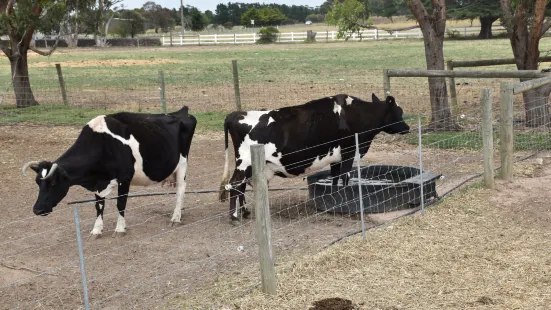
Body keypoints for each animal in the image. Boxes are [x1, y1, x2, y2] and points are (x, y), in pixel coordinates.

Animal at [22, 106, 198, 237]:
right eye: (38, 183)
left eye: (53, 183)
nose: (37, 210)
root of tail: (180, 112)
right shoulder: (98, 183)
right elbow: (99, 205)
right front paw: (97, 229)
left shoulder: (125, 178)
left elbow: (121, 203)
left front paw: (120, 229)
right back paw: (180, 211)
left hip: (182, 163)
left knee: (181, 189)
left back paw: (175, 217)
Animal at [219, 93, 410, 224]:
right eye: (399, 111)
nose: (408, 128)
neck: (357, 115)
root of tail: (235, 114)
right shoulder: (348, 153)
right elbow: (345, 179)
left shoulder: (336, 158)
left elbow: (335, 180)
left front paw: (334, 201)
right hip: (245, 162)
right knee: (235, 184)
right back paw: (234, 216)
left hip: (249, 166)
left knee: (241, 186)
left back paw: (245, 212)